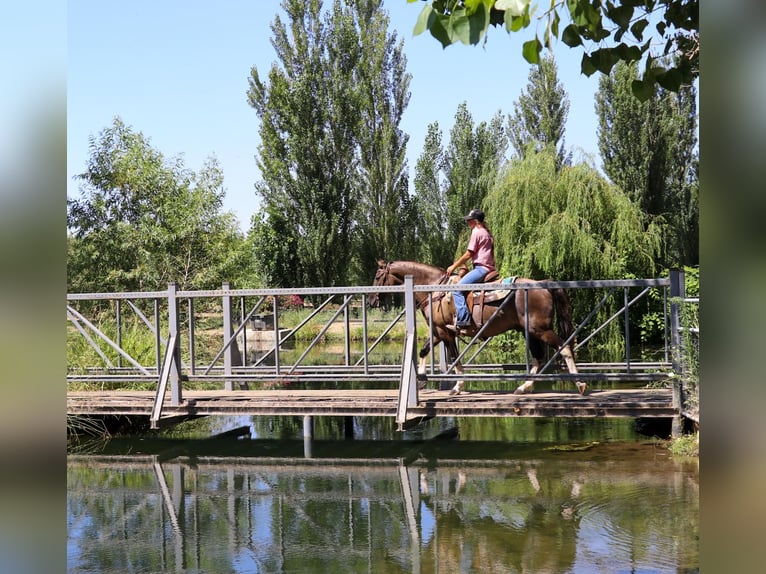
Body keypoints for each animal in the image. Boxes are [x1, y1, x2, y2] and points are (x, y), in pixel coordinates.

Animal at [368, 260, 584, 396]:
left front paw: (457, 387)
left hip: (539, 330)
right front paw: (421, 379)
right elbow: (423, 350)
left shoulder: (445, 333)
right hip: (529, 331)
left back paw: (580, 383)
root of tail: (542, 284)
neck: (435, 289)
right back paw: (524, 387)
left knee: (564, 347)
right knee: (539, 357)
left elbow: (455, 358)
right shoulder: (439, 331)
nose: (371, 301)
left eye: (378, 276)